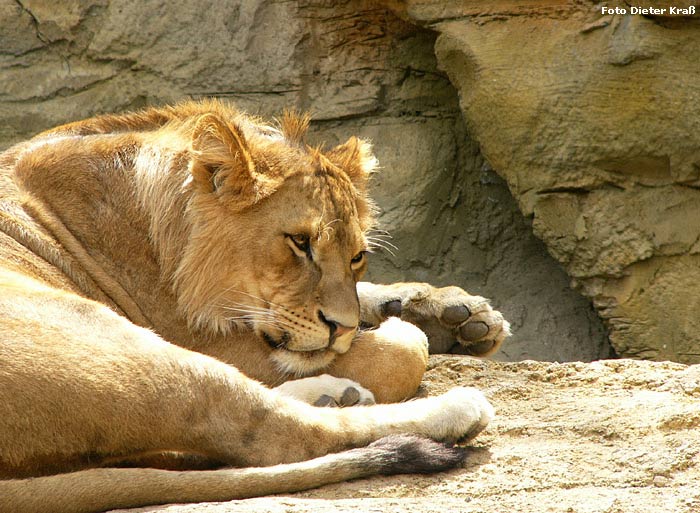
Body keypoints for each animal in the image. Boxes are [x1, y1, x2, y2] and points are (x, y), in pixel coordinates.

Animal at [0, 98, 508, 510]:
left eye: (356, 255)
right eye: (300, 242)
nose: (342, 329)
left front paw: (457, 314)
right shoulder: (213, 340)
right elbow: (405, 350)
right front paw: (402, 326)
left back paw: (333, 393)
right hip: (114, 343)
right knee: (273, 437)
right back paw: (451, 409)